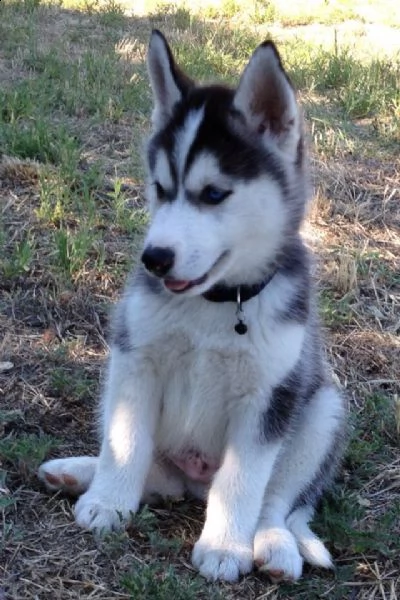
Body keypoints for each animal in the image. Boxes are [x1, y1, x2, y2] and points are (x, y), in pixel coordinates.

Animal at [39, 30, 346, 584]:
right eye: (161, 189)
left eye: (214, 194)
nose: (154, 259)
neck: (218, 305)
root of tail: (194, 481)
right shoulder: (135, 358)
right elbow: (126, 443)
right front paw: (109, 502)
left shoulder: (267, 396)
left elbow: (244, 480)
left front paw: (224, 548)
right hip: (115, 384)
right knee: (154, 471)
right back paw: (79, 474)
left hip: (322, 409)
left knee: (278, 502)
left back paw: (274, 545)